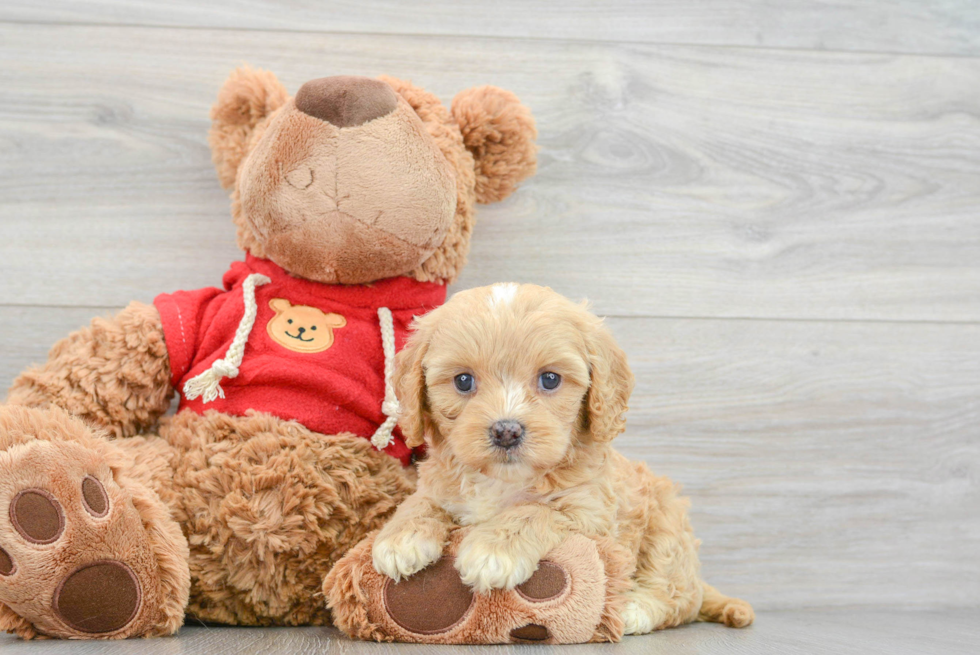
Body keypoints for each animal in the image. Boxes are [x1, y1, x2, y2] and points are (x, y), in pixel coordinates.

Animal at [372, 284, 756, 632]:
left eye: (550, 379)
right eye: (463, 381)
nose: (507, 430)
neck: (503, 481)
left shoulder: (591, 512)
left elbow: (535, 510)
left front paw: (494, 550)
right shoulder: (439, 487)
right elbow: (418, 503)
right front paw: (400, 539)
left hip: (667, 526)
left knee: (679, 594)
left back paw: (636, 610)